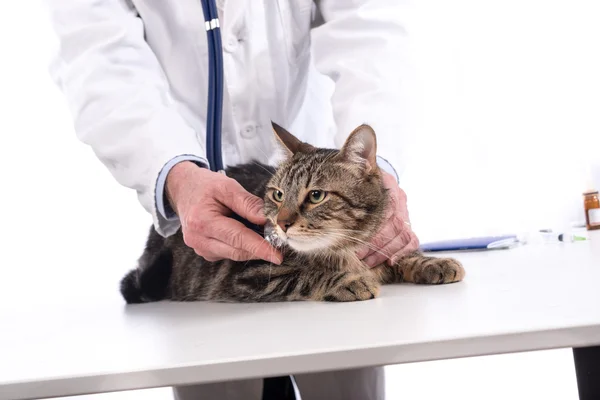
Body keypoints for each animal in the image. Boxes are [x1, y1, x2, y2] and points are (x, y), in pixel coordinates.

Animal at [119, 122, 466, 304]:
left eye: (316, 196)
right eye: (278, 194)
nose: (282, 223)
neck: (346, 248)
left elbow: (401, 255)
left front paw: (432, 262)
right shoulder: (248, 276)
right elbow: (305, 275)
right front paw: (347, 280)